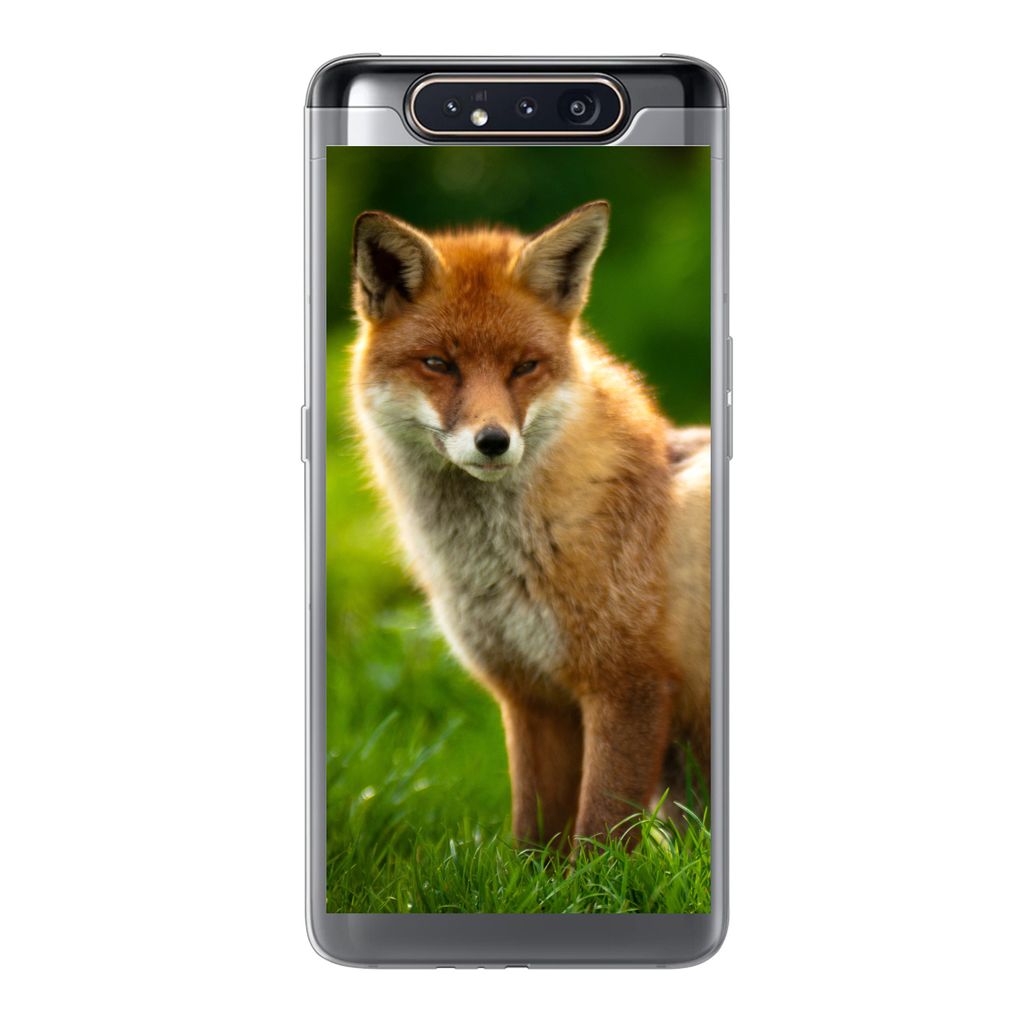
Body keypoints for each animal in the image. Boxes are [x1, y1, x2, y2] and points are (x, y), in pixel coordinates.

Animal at [348, 200, 710, 849]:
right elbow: (532, 838)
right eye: (439, 364)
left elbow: (599, 833)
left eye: (524, 367)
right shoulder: (529, 696)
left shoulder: (630, 686)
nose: (493, 441)